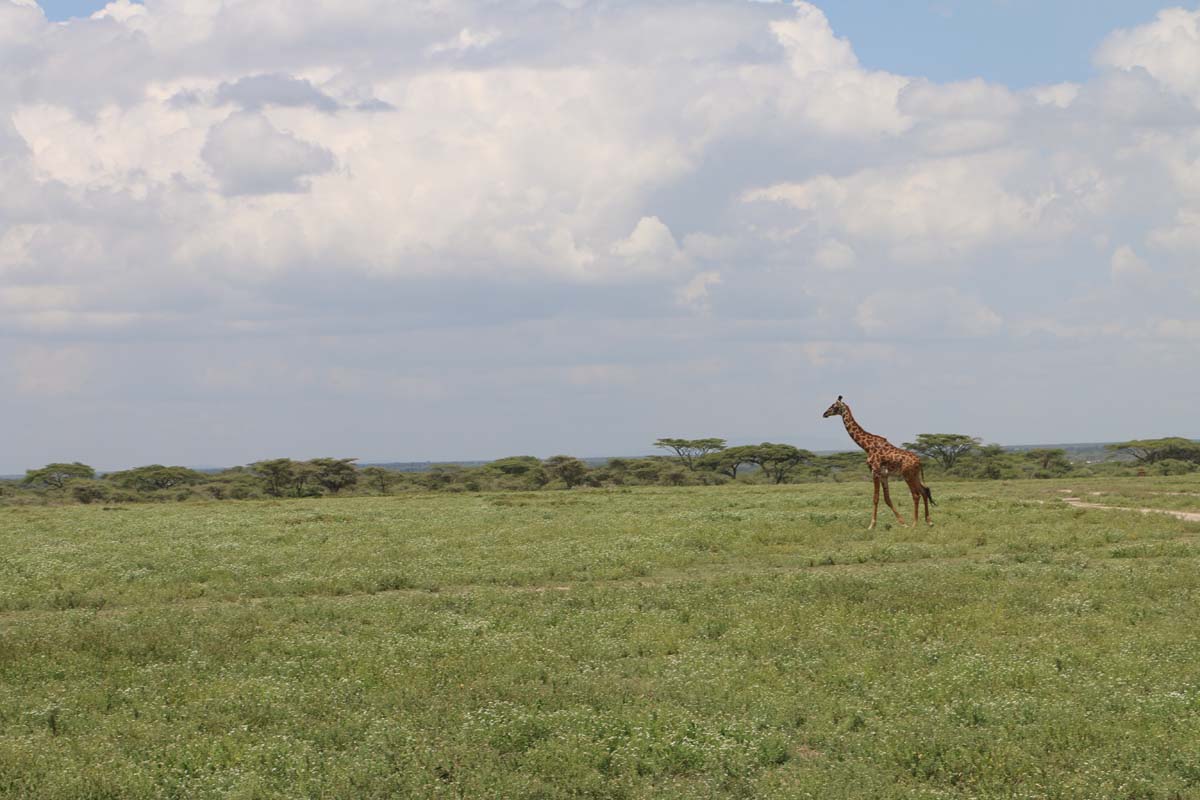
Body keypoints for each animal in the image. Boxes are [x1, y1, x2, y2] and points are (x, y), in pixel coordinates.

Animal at [822, 396, 935, 530]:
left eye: (834, 406)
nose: (824, 414)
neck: (866, 446)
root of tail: (919, 462)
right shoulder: (883, 475)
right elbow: (887, 498)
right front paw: (902, 523)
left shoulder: (874, 472)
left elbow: (875, 498)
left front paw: (871, 525)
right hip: (914, 475)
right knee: (924, 490)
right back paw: (929, 521)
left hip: (907, 475)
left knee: (916, 494)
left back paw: (914, 524)